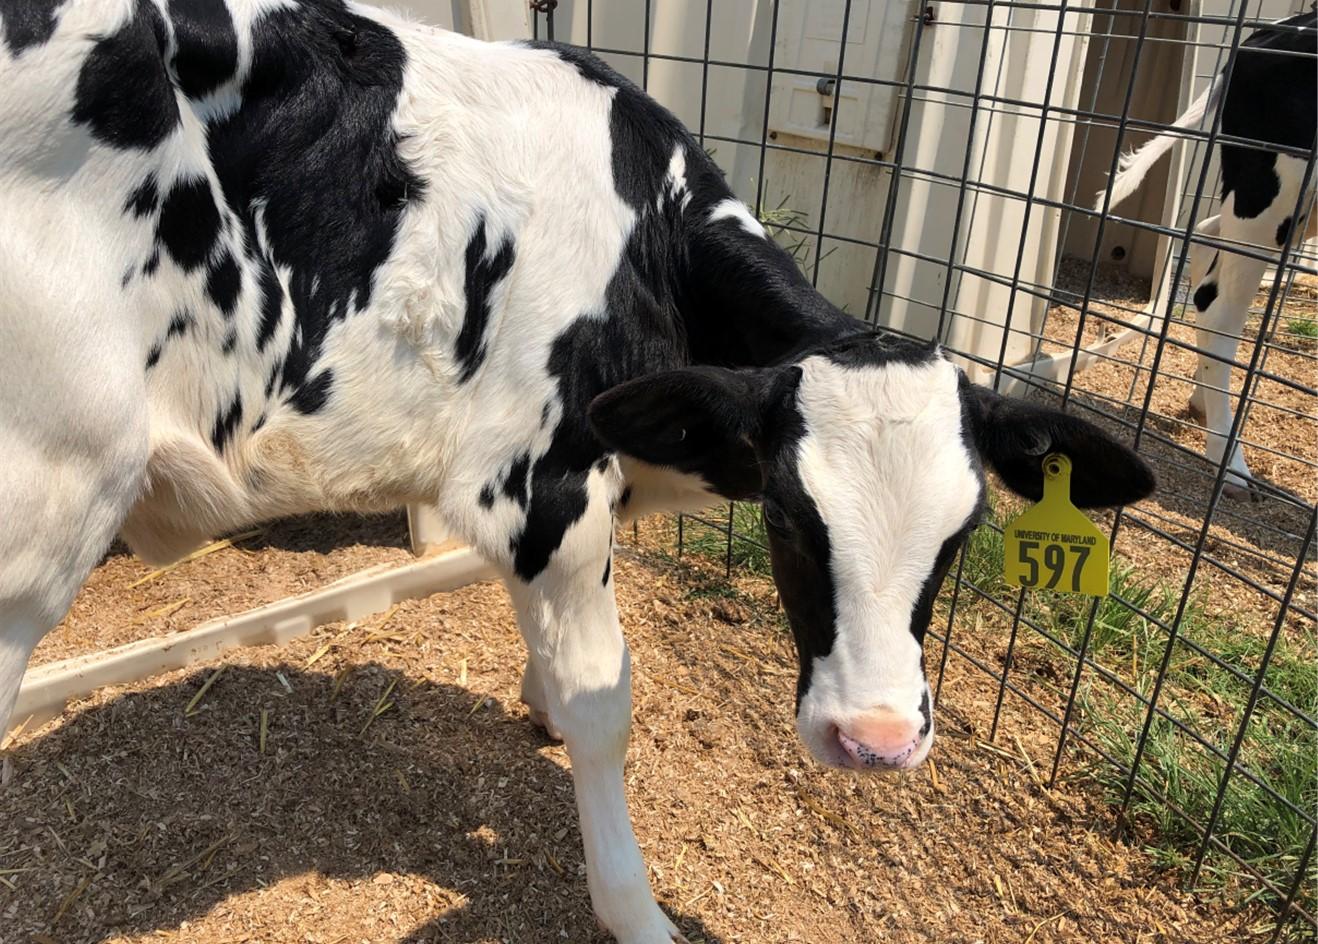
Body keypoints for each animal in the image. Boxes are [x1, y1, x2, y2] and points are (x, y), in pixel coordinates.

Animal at [0, 2, 1155, 940]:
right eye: (788, 516)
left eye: (962, 534)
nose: (872, 737)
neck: (649, 236)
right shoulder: (544, 483)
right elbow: (605, 700)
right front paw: (635, 909)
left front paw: (538, 701)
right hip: (41, 514)